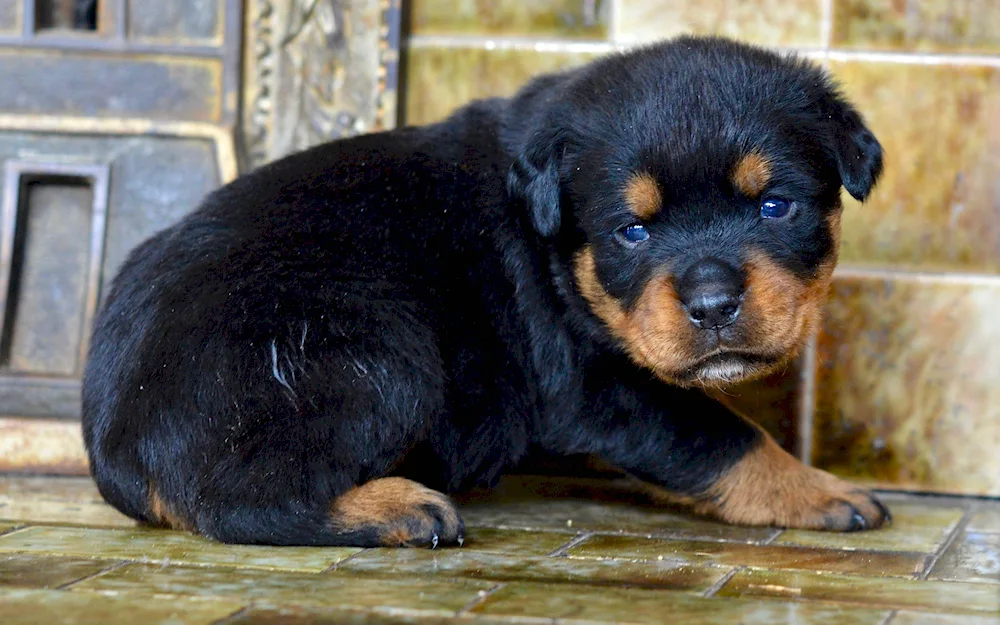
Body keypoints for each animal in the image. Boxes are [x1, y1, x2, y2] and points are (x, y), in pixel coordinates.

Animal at [82, 37, 888, 544]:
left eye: (775, 207)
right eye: (631, 231)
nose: (714, 305)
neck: (557, 252)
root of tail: (113, 439)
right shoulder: (599, 384)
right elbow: (722, 435)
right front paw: (820, 488)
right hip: (376, 355)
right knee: (239, 498)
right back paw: (397, 508)